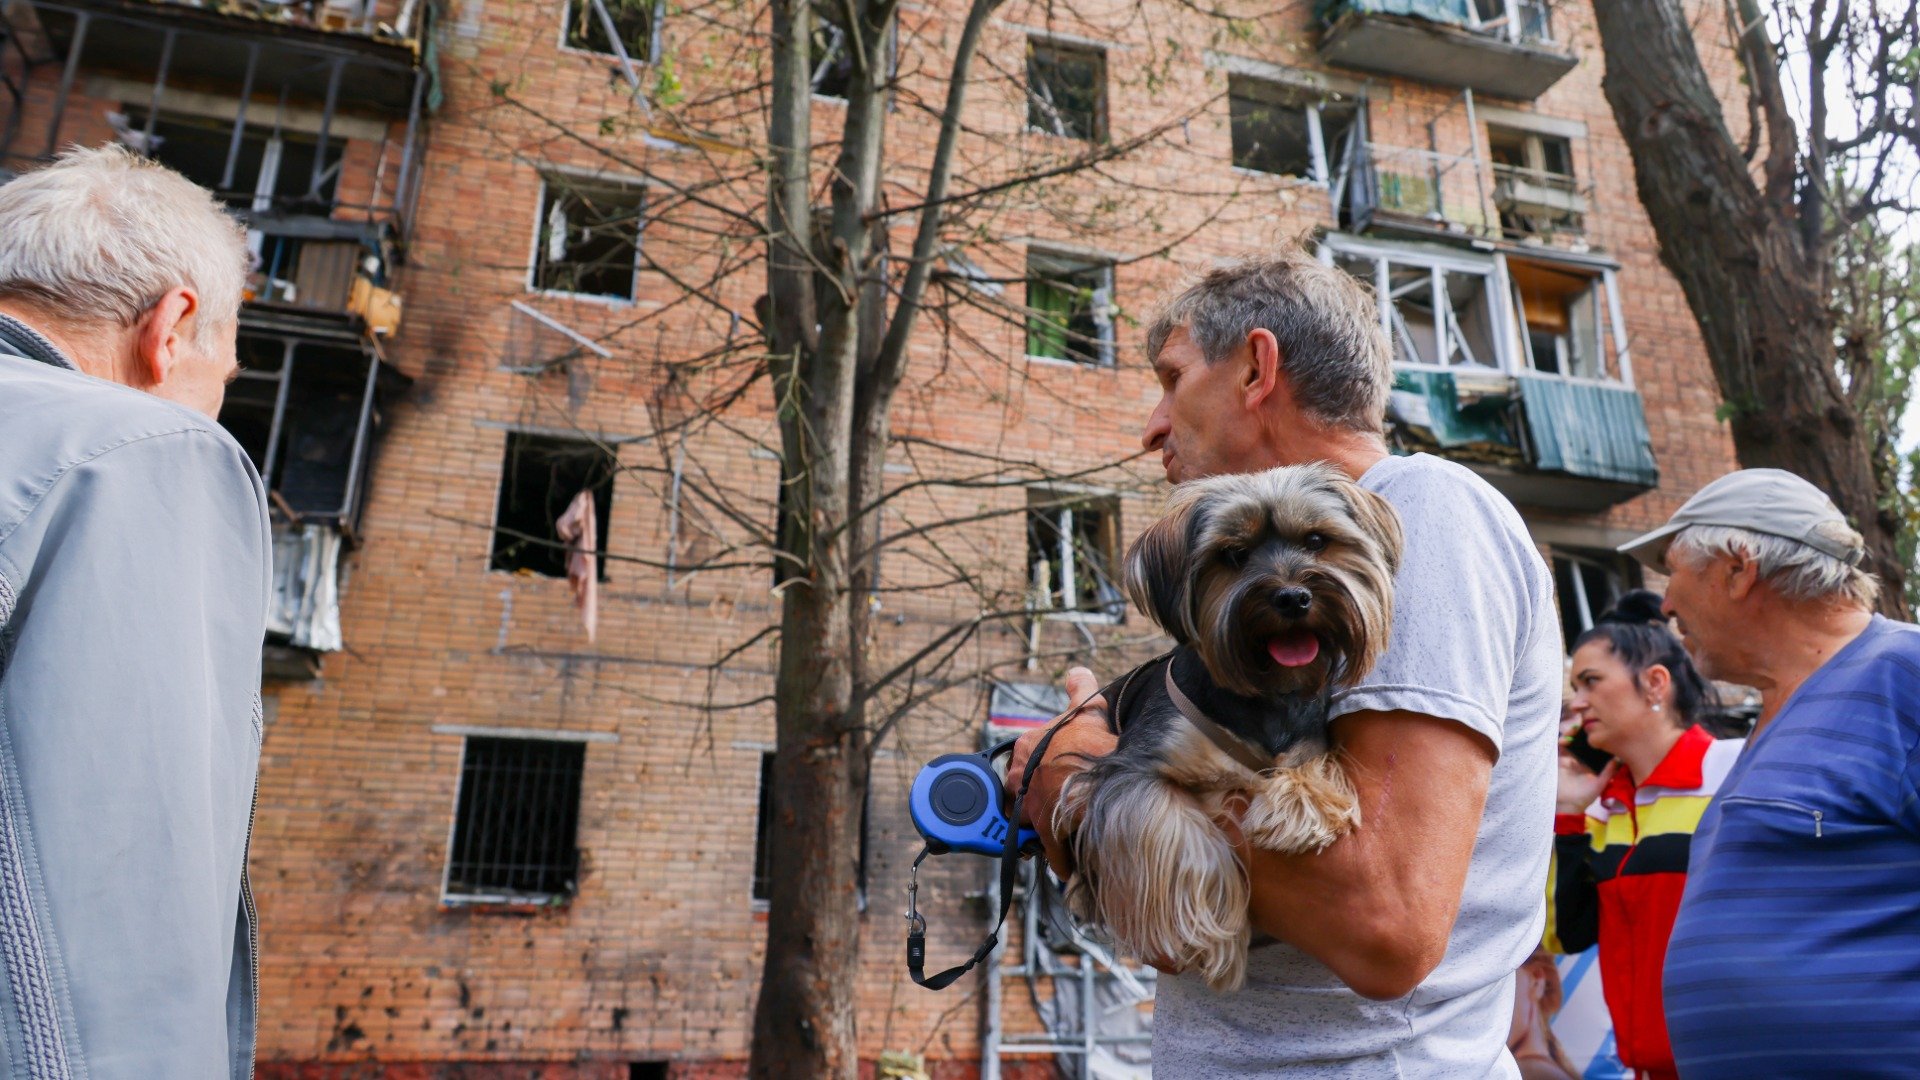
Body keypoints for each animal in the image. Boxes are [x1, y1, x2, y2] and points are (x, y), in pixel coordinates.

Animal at [1059, 457, 1405, 991]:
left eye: (1316, 540)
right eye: (1234, 554)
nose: (1292, 597)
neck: (1265, 691)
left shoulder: (1309, 735)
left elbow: (1308, 761)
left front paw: (1302, 806)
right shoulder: (1131, 769)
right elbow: (1175, 830)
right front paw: (1208, 936)